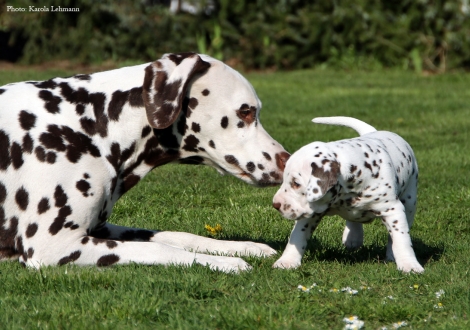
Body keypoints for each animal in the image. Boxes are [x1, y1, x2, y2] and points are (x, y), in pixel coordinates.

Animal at [0, 52, 290, 274]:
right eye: (246, 111)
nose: (287, 162)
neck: (91, 125)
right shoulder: (53, 245)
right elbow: (159, 248)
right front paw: (224, 262)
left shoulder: (101, 227)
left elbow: (178, 236)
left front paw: (244, 246)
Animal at [270, 116, 424, 274]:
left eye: (296, 183)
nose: (276, 204)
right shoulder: (310, 214)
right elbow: (297, 236)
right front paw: (287, 261)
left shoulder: (393, 209)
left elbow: (401, 240)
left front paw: (409, 265)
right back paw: (353, 238)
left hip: (409, 201)